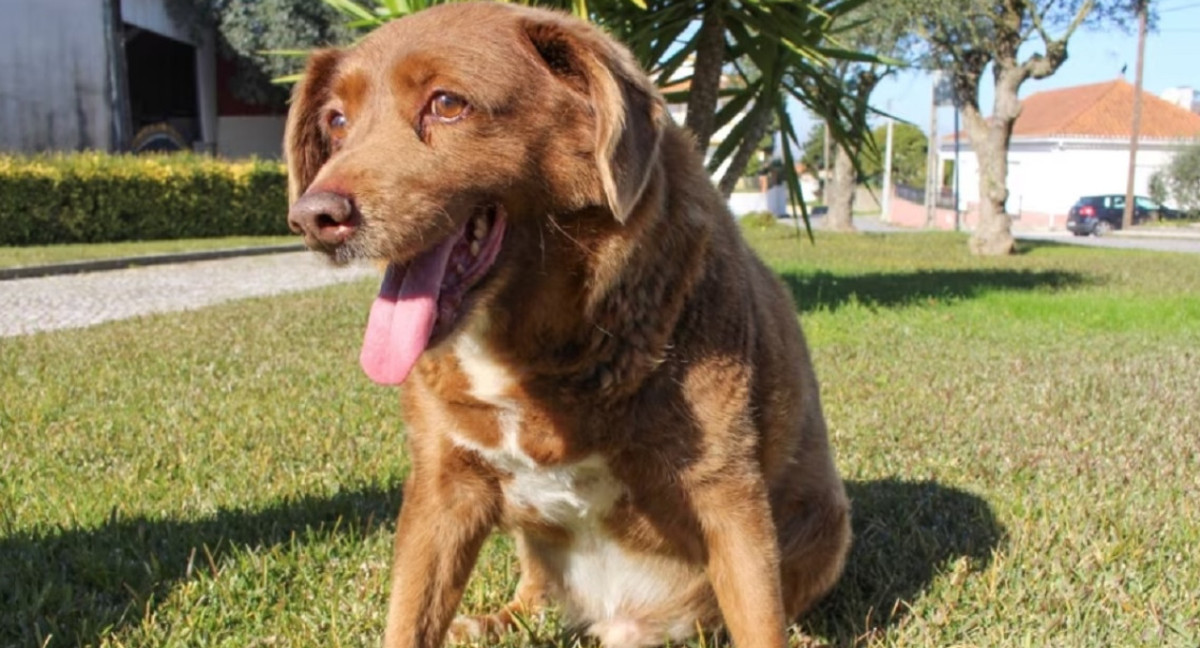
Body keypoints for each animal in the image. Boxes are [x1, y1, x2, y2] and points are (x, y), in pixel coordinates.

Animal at [284, 2, 849, 643]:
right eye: (336, 121)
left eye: (447, 103)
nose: (312, 217)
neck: (527, 350)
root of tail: (624, 621)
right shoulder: (441, 485)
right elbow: (409, 617)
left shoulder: (727, 493)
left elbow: (760, 620)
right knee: (533, 593)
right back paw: (489, 622)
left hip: (826, 526)